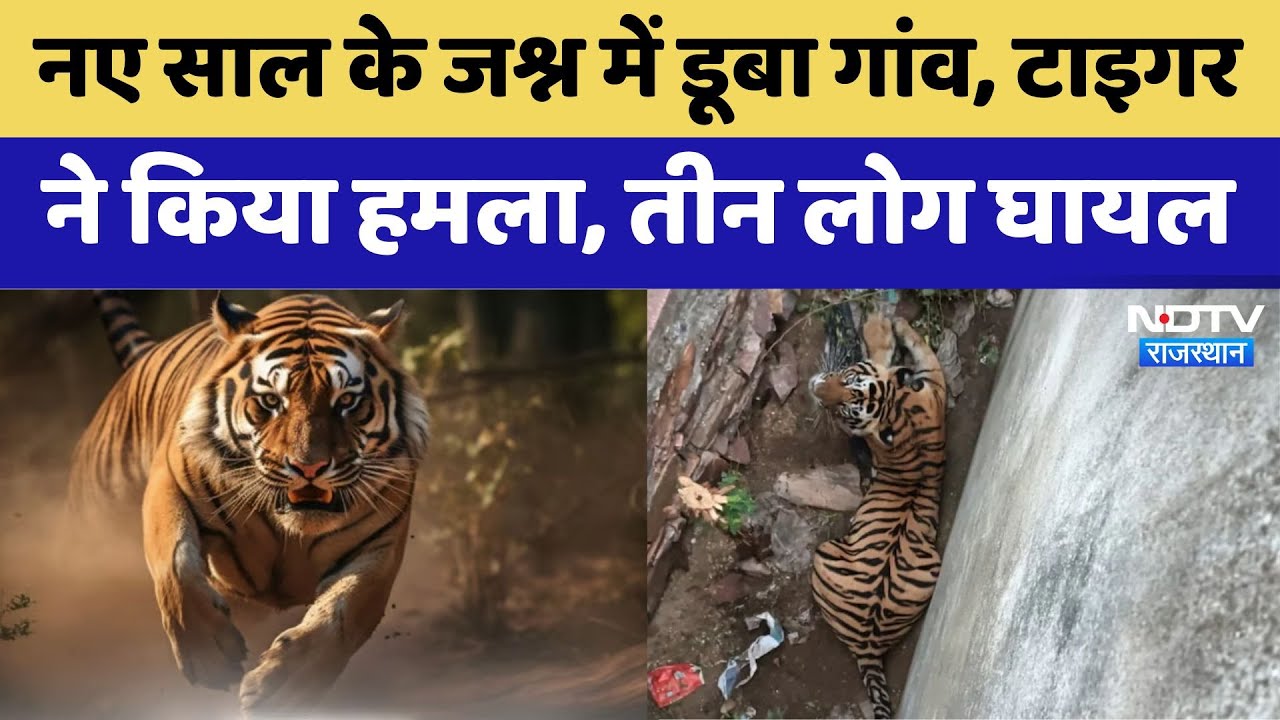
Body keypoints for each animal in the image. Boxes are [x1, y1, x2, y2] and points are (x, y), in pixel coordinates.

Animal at [66, 291, 429, 714]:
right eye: (271, 401)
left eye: (347, 401)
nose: (309, 467)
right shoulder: (169, 481)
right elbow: (176, 564)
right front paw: (209, 658)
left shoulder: (380, 547)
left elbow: (341, 615)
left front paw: (284, 690)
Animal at [807, 313, 946, 720]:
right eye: (846, 377)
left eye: (845, 409)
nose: (817, 388)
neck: (896, 404)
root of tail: (868, 643)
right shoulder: (934, 385)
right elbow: (919, 348)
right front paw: (892, 325)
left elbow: (888, 354)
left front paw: (877, 324)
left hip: (823, 553)